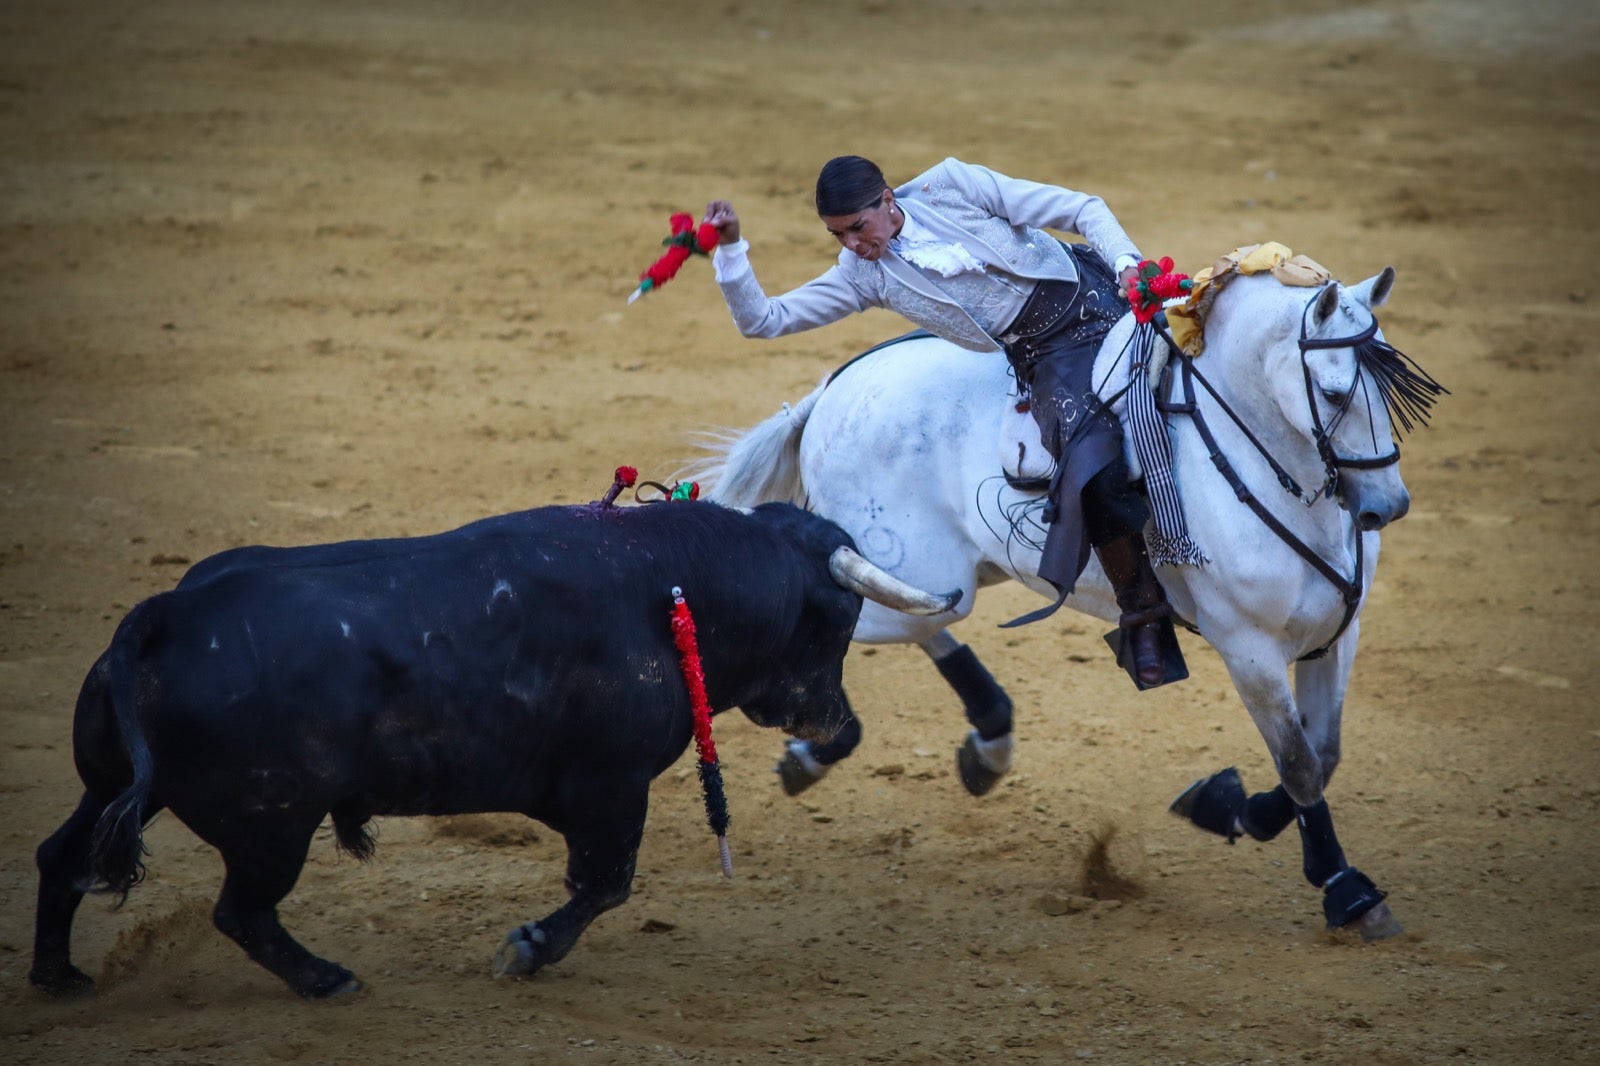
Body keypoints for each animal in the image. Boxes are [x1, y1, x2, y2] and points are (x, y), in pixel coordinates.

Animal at [28, 499, 947, 998]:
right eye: (837, 618)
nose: (837, 723)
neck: (674, 588)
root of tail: (163, 614)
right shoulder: (611, 788)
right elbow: (605, 885)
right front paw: (526, 949)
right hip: (272, 826)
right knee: (241, 911)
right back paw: (329, 979)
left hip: (117, 785)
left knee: (62, 858)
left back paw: (58, 977)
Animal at [694, 260, 1446, 934]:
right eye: (1336, 392)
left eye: (1395, 382)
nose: (1386, 507)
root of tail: (830, 392)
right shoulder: (1249, 650)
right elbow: (1299, 764)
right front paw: (1347, 891)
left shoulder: (1335, 635)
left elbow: (1325, 754)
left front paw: (1224, 806)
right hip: (921, 571)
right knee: (866, 606)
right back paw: (823, 740)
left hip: (965, 572)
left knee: (920, 618)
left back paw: (985, 738)